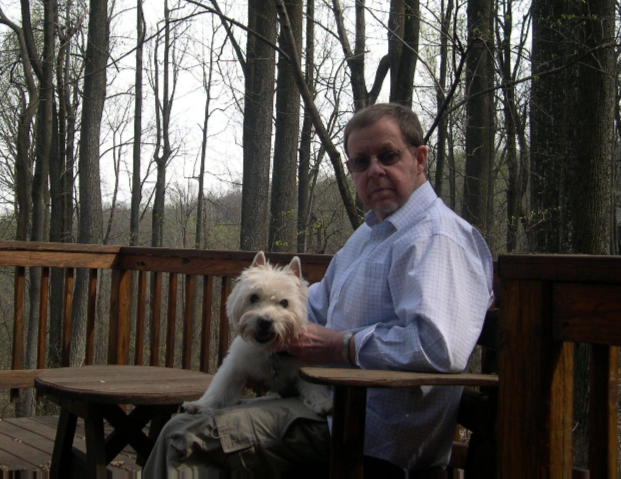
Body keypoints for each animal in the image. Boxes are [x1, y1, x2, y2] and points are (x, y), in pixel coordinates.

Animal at [182, 251, 332, 416]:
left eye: (284, 302)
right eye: (254, 297)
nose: (265, 322)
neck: (269, 351)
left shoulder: (304, 365)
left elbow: (314, 388)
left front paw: (324, 403)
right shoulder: (234, 365)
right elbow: (220, 387)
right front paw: (199, 405)